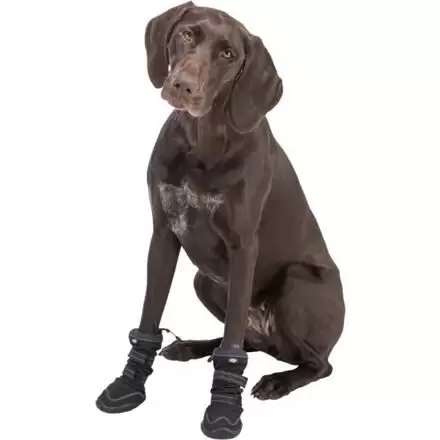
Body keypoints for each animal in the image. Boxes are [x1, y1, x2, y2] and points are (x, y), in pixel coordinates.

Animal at [97, 2, 345, 438]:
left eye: (229, 54)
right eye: (187, 34)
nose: (183, 86)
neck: (201, 141)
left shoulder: (243, 246)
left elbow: (232, 350)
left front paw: (224, 409)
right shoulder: (163, 234)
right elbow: (148, 318)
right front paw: (129, 382)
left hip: (297, 282)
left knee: (317, 363)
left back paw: (278, 381)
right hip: (206, 282)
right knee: (247, 340)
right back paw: (191, 346)